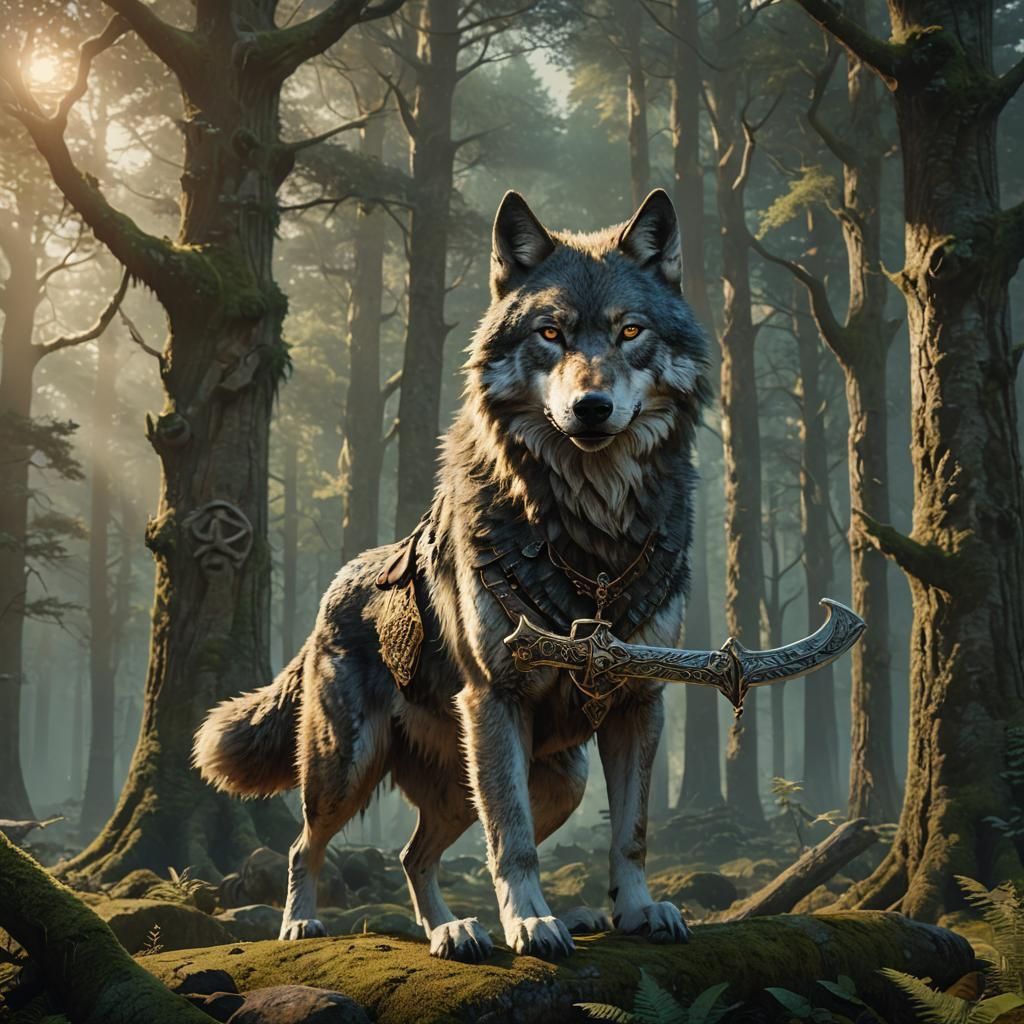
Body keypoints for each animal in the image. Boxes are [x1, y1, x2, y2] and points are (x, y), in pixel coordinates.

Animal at [193, 188, 711, 962]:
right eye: (551, 334)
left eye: (629, 331)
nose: (590, 408)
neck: (590, 534)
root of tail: (334, 588)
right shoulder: (494, 698)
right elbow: (512, 842)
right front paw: (531, 923)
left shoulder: (639, 703)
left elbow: (632, 835)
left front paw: (639, 910)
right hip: (349, 765)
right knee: (303, 846)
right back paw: (306, 923)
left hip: (554, 779)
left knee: (416, 855)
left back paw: (453, 931)